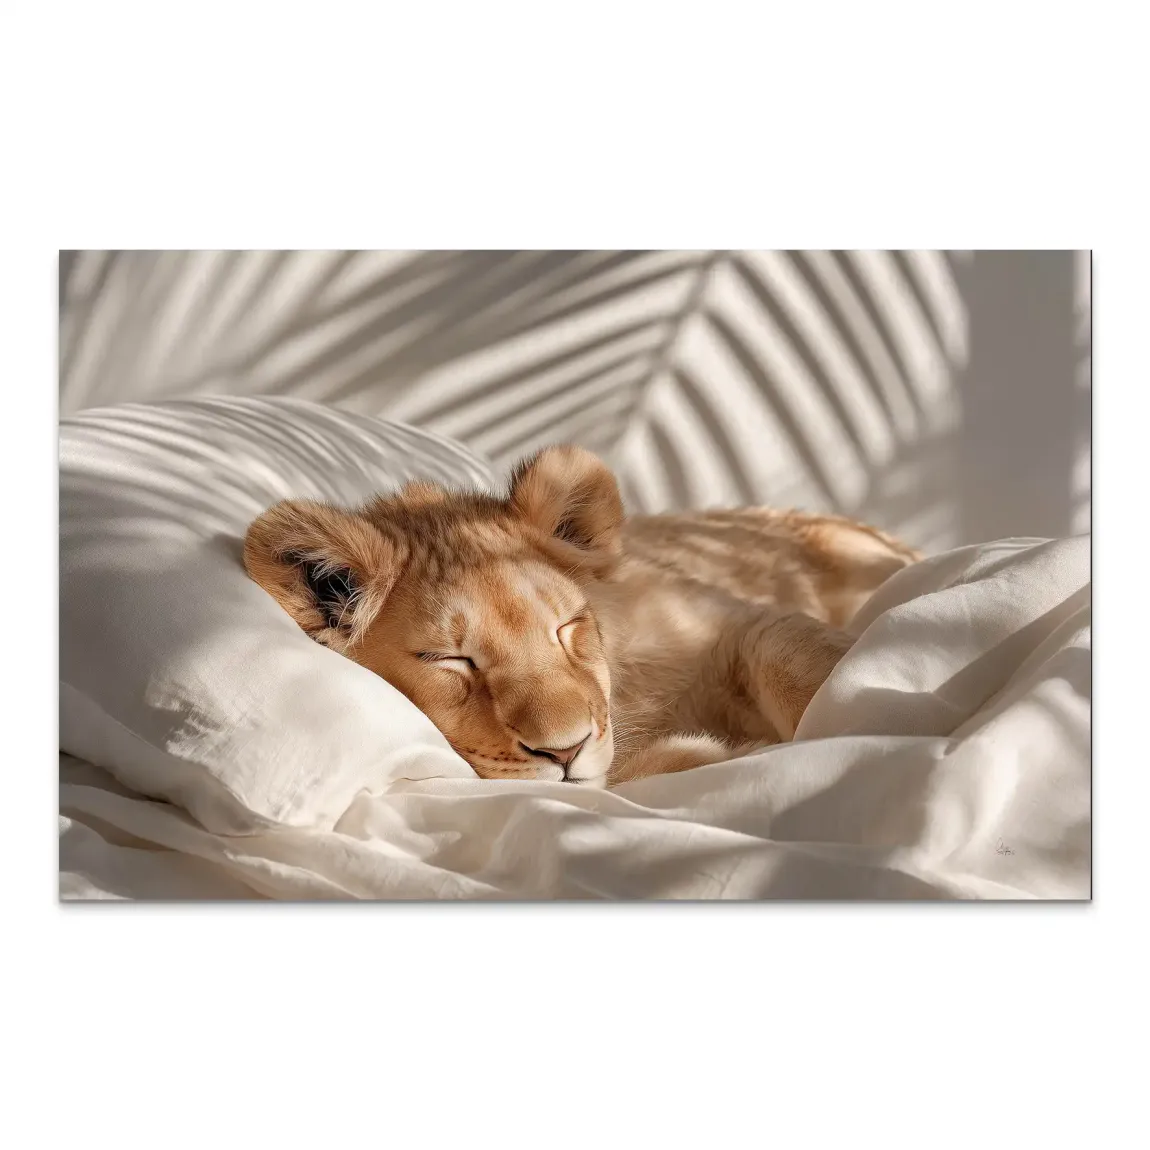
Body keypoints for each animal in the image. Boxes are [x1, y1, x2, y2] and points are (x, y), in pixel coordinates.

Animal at [243, 445, 920, 787]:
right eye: (450, 660)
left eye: (566, 628)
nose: (564, 751)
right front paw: (726, 754)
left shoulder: (726, 620)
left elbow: (788, 651)